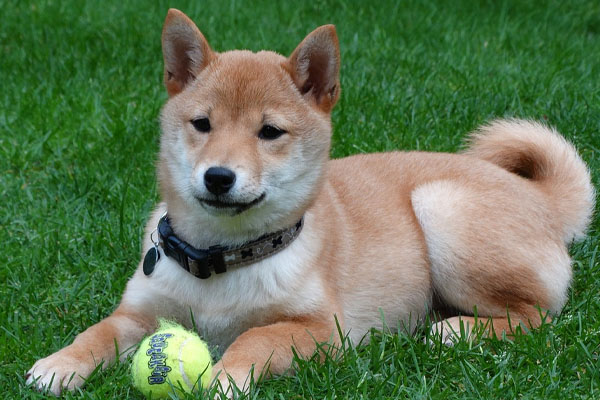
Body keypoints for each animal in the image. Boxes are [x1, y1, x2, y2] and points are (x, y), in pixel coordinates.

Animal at [24, 7, 596, 396]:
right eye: (202, 124)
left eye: (270, 132)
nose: (218, 176)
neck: (222, 260)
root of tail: (538, 195)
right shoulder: (139, 313)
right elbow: (96, 332)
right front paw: (59, 365)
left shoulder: (323, 330)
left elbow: (255, 339)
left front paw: (226, 376)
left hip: (441, 209)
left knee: (539, 316)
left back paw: (456, 330)